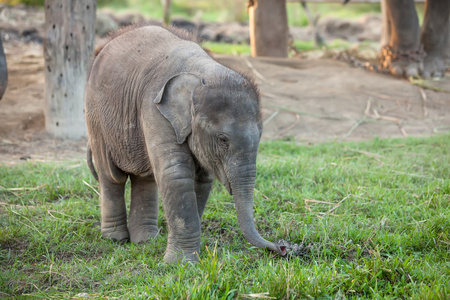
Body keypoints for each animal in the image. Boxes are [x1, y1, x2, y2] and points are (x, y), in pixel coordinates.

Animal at [85, 23, 284, 262]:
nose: (283, 247)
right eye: (223, 139)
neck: (202, 72)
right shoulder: (154, 109)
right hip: (96, 118)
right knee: (111, 176)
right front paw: (179, 263)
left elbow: (202, 178)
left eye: (260, 135)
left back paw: (145, 240)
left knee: (145, 177)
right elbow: (176, 175)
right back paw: (116, 239)